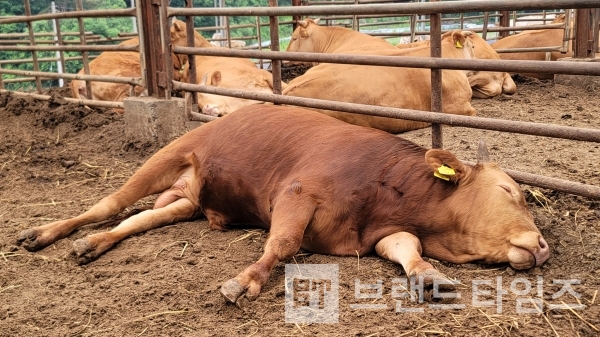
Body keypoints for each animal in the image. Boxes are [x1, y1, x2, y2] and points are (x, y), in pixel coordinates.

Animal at [15, 105, 548, 308]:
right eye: (510, 192)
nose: (543, 245)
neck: (388, 190)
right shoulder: (295, 193)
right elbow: (285, 243)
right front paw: (245, 281)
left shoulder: (378, 233)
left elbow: (407, 248)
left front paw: (428, 276)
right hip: (168, 155)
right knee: (110, 202)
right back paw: (47, 233)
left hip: (186, 201)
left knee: (140, 219)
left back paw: (94, 244)